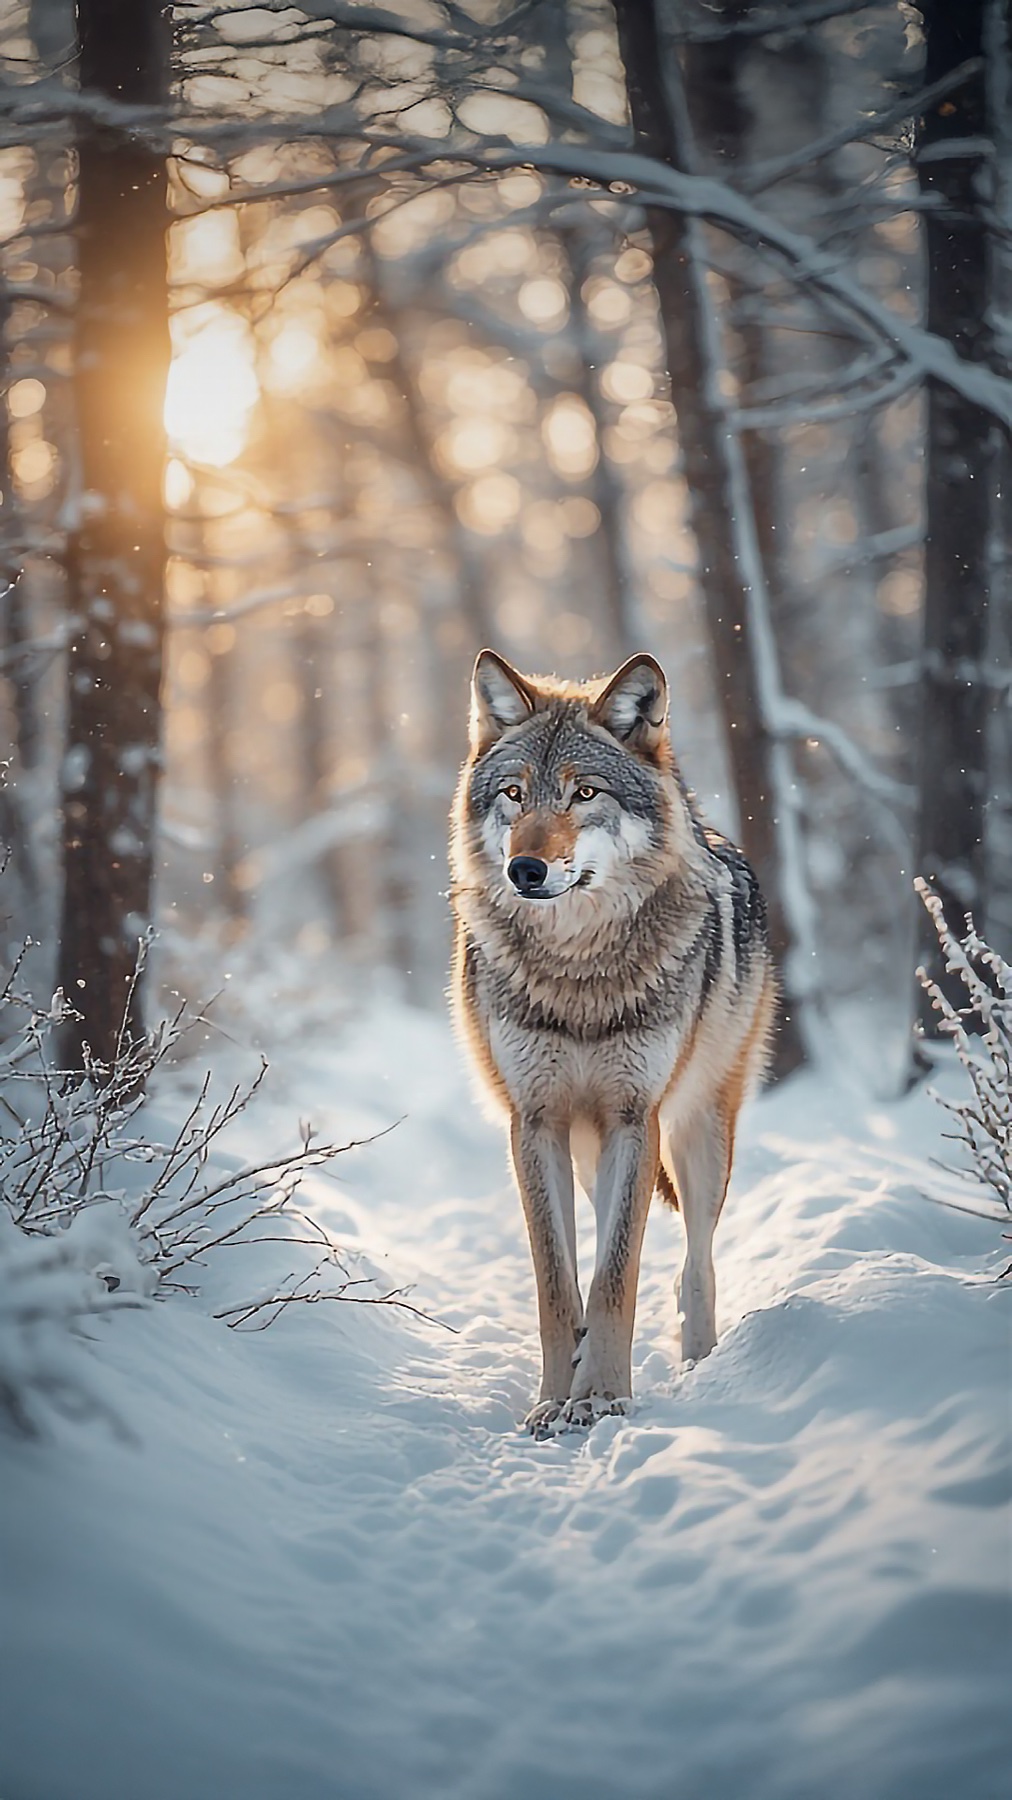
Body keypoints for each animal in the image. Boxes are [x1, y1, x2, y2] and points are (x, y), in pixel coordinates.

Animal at [449, 650, 776, 1435]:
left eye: (584, 792)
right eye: (514, 794)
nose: (525, 870)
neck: (577, 974)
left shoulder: (635, 1118)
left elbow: (617, 1276)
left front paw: (600, 1397)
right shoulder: (535, 1123)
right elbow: (558, 1285)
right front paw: (552, 1400)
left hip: (697, 1135)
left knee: (695, 1263)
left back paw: (699, 1362)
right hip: (589, 1146)